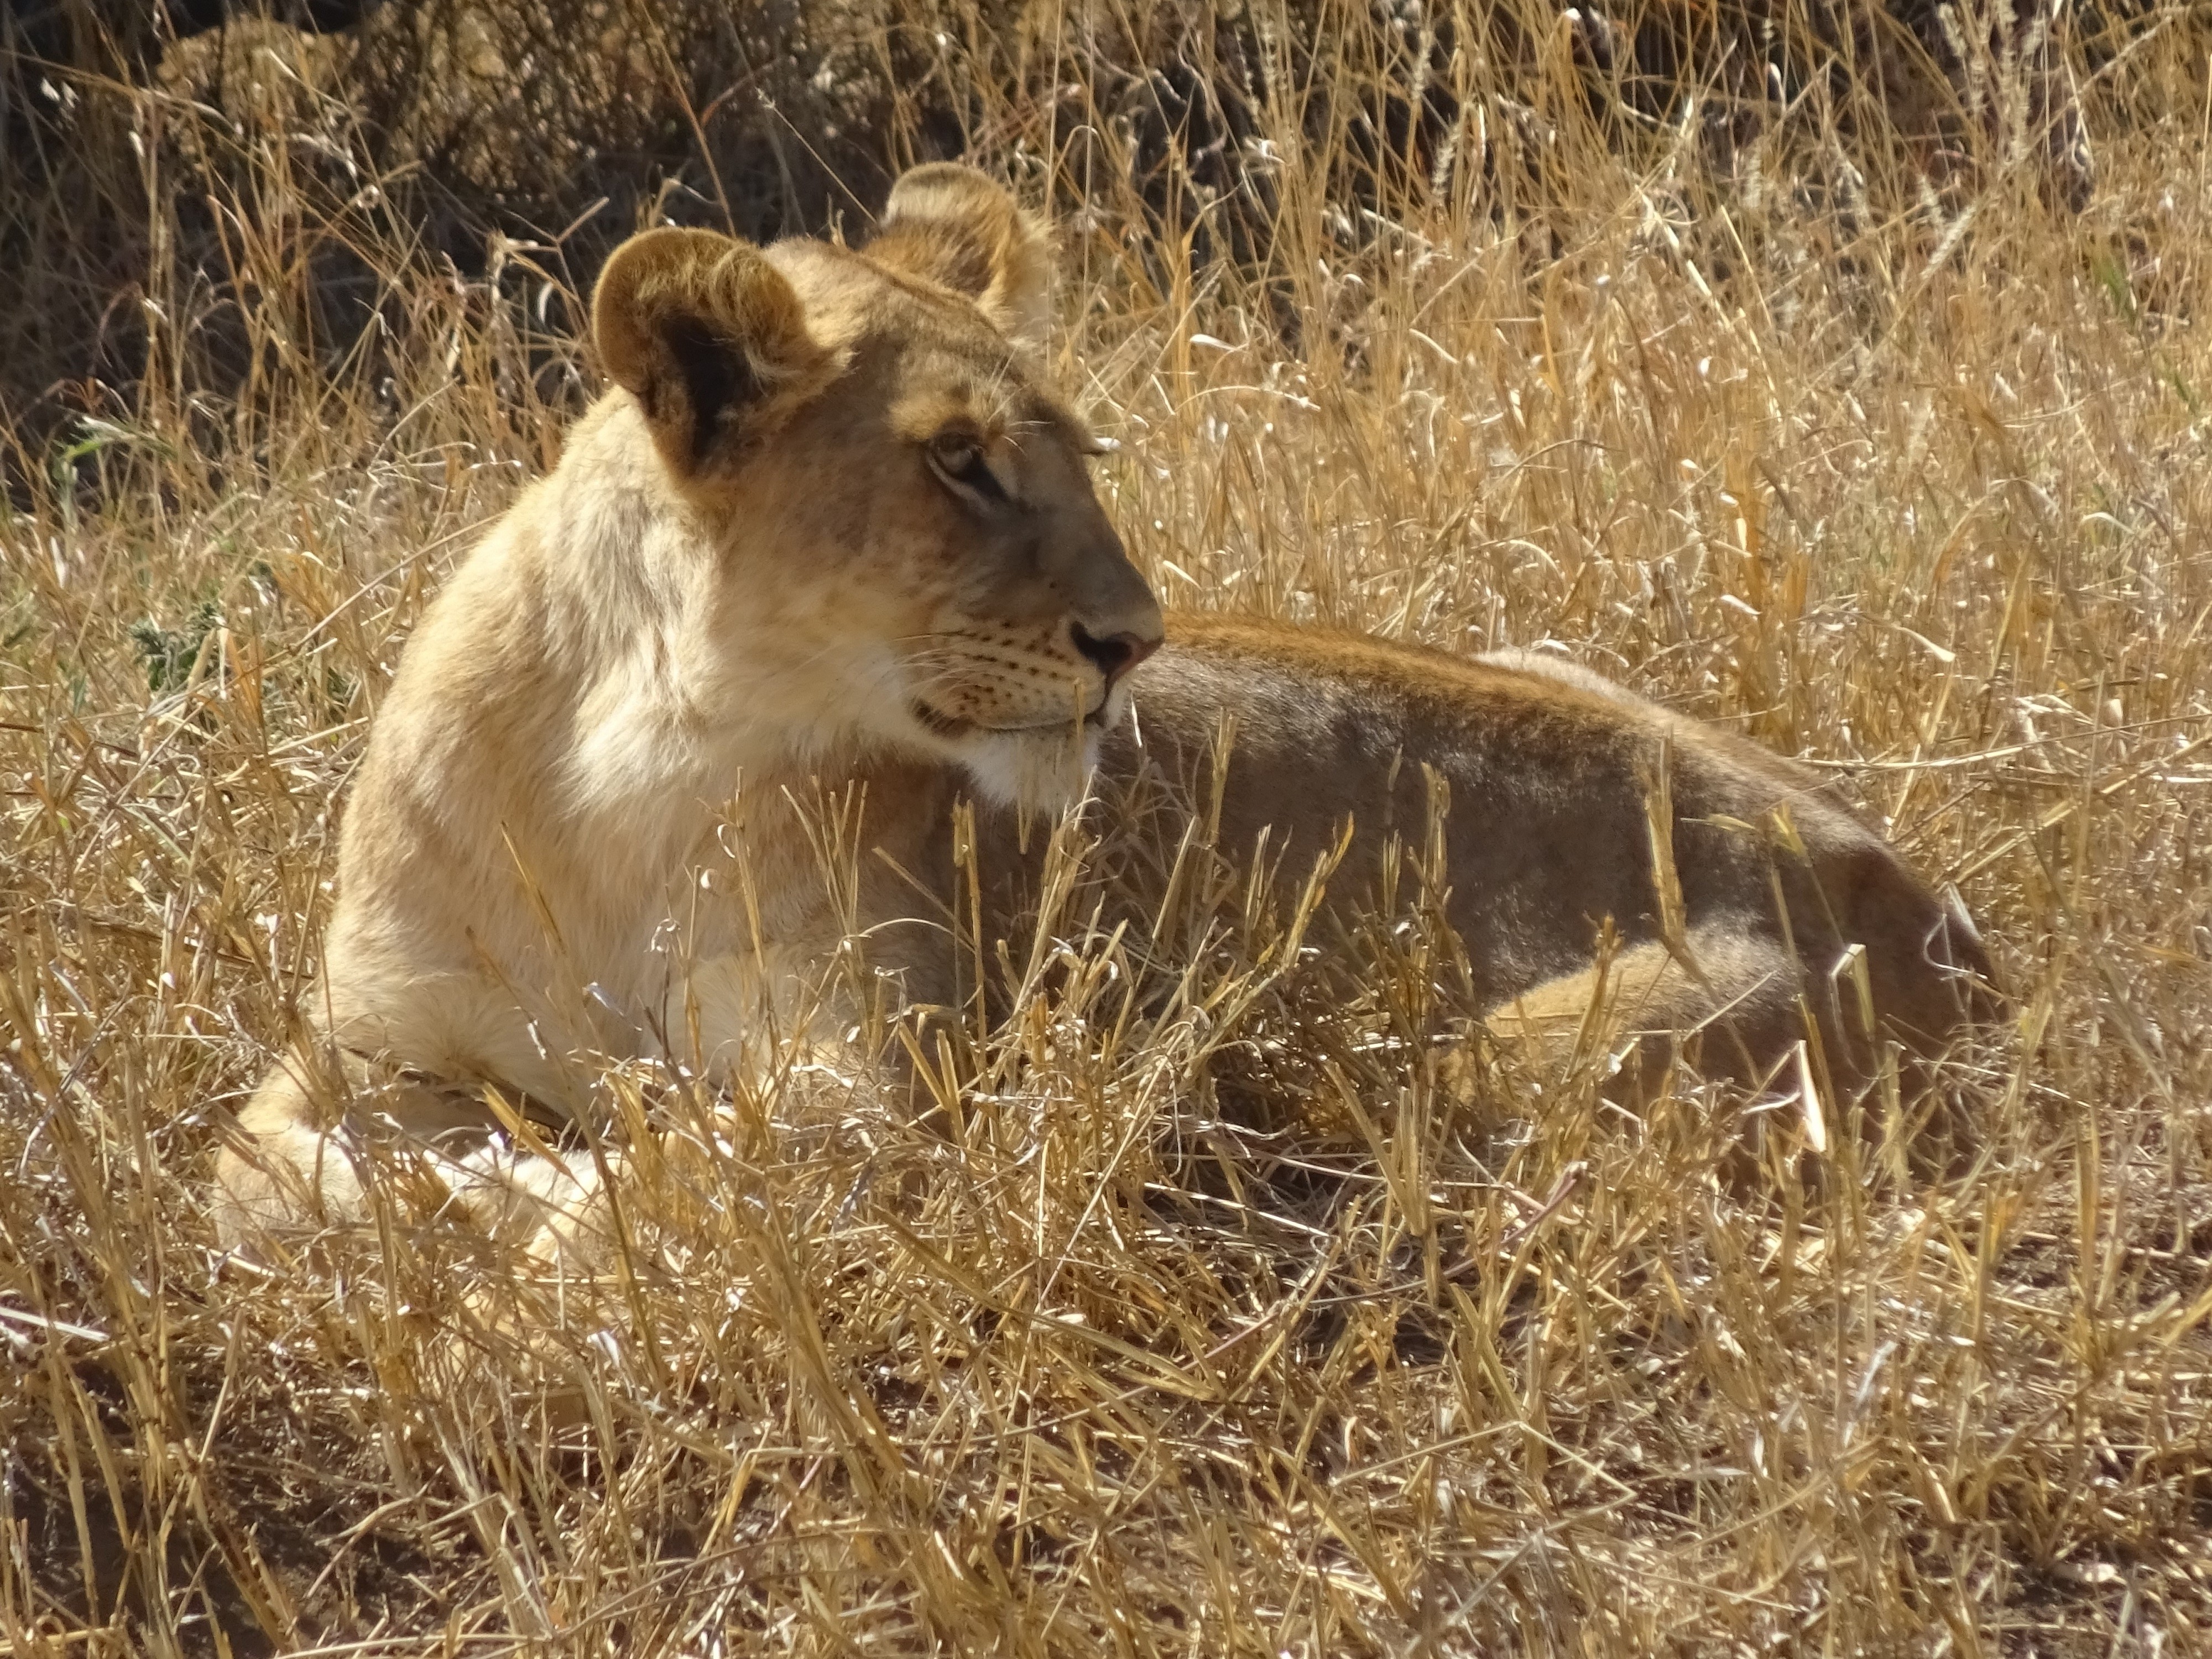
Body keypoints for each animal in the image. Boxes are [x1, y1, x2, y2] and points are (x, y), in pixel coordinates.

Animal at [211, 166, 2008, 1256]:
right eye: (957, 460)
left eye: (1077, 453)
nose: (1135, 642)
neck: (632, 776)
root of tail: (1937, 911)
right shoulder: (365, 1043)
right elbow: (250, 1174)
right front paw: (452, 1193)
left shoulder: (889, 1083)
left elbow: (675, 1171)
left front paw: (527, 1203)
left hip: (1498, 1061)